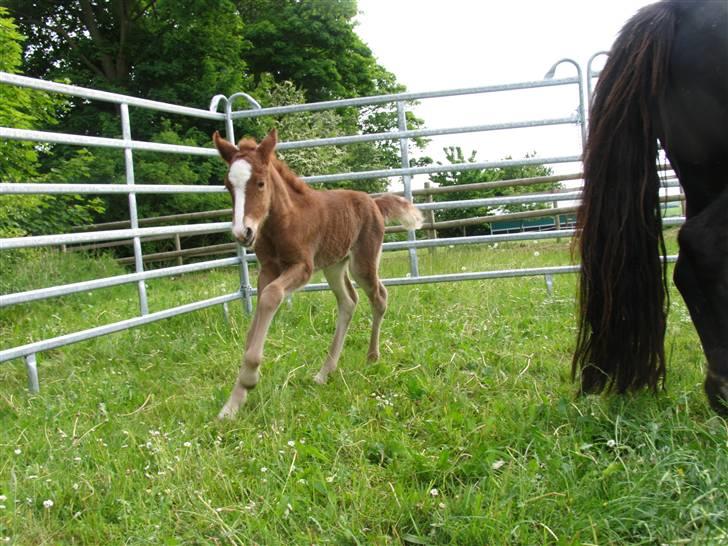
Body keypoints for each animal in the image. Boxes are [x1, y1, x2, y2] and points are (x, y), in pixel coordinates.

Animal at [213, 129, 424, 416]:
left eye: (260, 183)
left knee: (379, 297)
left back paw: (372, 357)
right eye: (228, 186)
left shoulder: (303, 267)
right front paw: (233, 403)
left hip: (362, 262)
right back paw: (325, 373)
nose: (242, 233)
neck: (284, 221)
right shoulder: (267, 269)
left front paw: (249, 380)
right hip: (334, 265)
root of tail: (374, 202)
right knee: (348, 301)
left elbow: (271, 296)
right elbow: (256, 317)